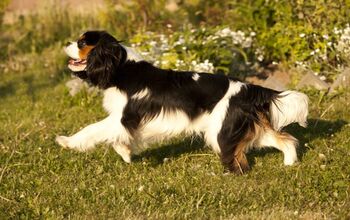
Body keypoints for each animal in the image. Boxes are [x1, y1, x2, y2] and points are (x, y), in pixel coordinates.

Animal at [57, 30, 308, 174]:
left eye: (81, 43)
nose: (66, 42)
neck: (121, 68)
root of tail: (247, 88)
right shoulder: (124, 122)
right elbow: (117, 139)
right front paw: (126, 154)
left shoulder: (123, 118)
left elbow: (91, 129)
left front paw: (67, 142)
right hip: (247, 128)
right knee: (285, 141)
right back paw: (289, 164)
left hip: (220, 131)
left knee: (238, 160)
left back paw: (232, 174)